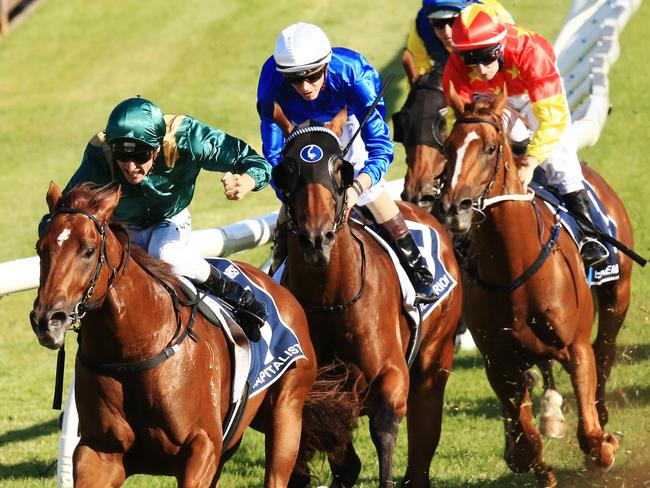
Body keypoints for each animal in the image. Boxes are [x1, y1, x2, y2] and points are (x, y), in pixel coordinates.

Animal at [30, 181, 356, 486]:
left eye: (88, 250)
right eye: (40, 248)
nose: (48, 320)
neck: (133, 351)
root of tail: (279, 288)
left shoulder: (201, 446)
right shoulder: (99, 453)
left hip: (286, 409)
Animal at [270, 115, 464, 488]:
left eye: (339, 169)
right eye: (286, 169)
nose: (316, 239)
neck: (330, 300)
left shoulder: (392, 375)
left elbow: (384, 428)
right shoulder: (320, 393)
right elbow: (335, 456)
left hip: (436, 354)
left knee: (424, 432)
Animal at [438, 88, 632, 488]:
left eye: (490, 148)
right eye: (447, 146)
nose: (453, 208)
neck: (514, 266)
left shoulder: (575, 348)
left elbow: (590, 436)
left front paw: (606, 445)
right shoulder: (498, 360)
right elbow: (526, 442)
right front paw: (531, 459)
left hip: (616, 298)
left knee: (604, 353)